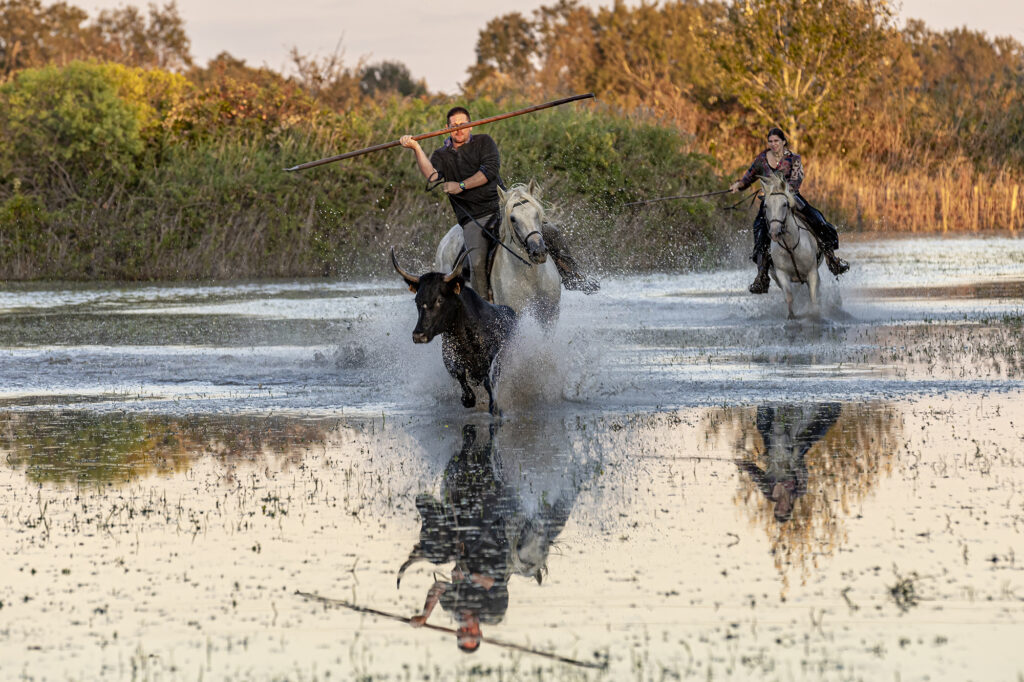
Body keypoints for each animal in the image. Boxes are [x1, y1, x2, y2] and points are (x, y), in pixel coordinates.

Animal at [436, 180, 562, 325]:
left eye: (536, 213)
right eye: (513, 219)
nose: (539, 252)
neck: (531, 276)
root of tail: (444, 242)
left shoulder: (550, 315)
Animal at [761, 174, 824, 319]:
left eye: (784, 204)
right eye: (766, 205)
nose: (774, 232)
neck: (790, 247)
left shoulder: (812, 272)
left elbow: (813, 297)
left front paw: (814, 314)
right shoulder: (781, 273)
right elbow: (789, 296)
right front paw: (791, 316)